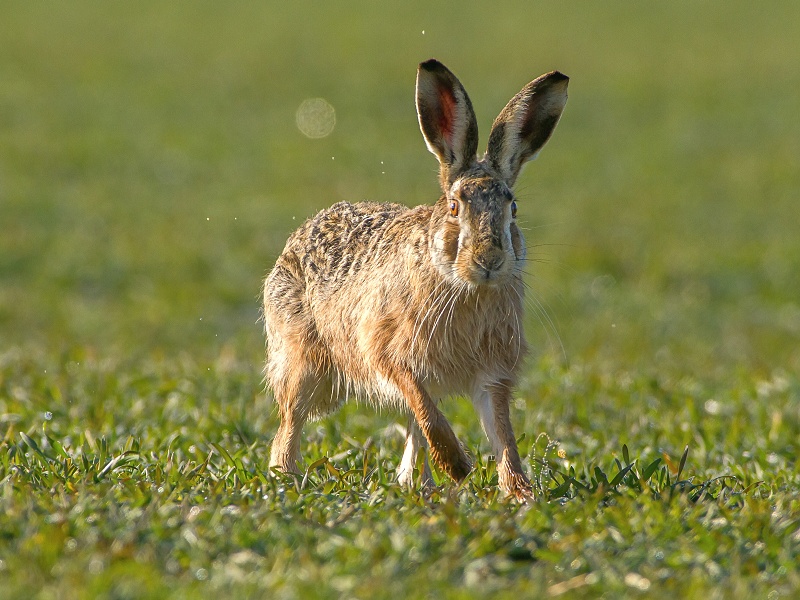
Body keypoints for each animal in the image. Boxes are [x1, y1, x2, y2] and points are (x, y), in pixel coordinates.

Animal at [263, 59, 568, 500]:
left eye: (512, 208)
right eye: (455, 207)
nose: (489, 260)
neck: (465, 288)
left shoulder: (492, 376)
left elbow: (503, 434)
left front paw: (519, 492)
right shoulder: (391, 353)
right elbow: (425, 409)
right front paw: (458, 466)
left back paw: (416, 484)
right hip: (303, 363)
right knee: (291, 423)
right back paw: (287, 475)